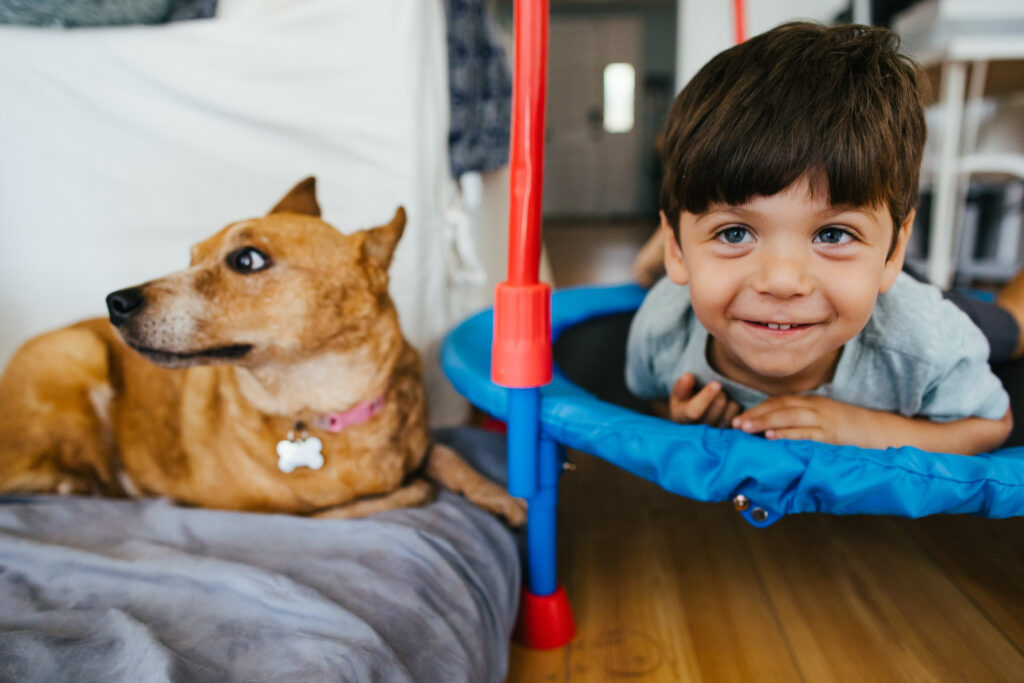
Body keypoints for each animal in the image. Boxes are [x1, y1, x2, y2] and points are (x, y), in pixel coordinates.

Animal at [0, 178, 524, 524]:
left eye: (246, 259)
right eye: (191, 257)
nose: (116, 302)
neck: (327, 410)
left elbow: (444, 454)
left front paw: (501, 496)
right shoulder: (290, 512)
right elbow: (407, 491)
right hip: (75, 356)